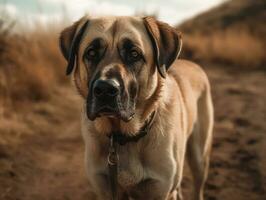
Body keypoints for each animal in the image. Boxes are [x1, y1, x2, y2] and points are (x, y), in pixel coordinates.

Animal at [58, 15, 214, 200]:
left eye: (134, 54)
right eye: (91, 53)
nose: (105, 89)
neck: (123, 137)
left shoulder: (160, 191)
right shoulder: (106, 189)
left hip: (199, 157)